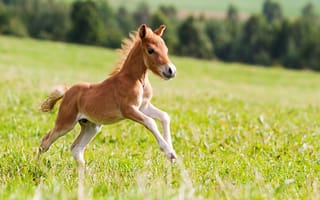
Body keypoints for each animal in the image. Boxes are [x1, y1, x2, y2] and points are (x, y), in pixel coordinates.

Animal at [38, 24, 178, 166]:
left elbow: (164, 116)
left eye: (166, 49)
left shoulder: (143, 106)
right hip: (66, 123)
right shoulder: (128, 109)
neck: (136, 79)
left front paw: (171, 151)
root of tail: (67, 92)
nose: (171, 71)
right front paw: (169, 152)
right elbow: (151, 122)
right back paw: (38, 165)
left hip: (91, 126)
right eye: (150, 50)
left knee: (76, 148)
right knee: (45, 141)